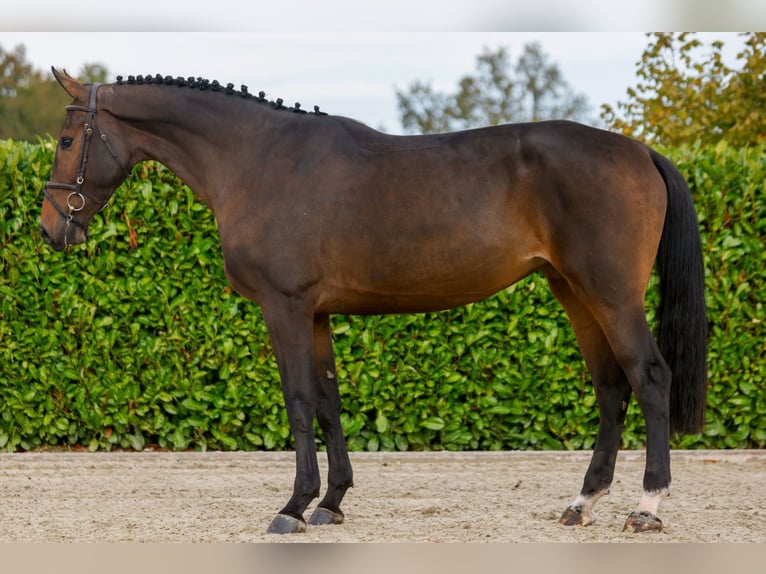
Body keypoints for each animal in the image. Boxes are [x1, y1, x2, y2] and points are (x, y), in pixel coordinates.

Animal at [37, 70, 708, 536]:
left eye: (68, 138)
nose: (50, 229)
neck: (258, 161)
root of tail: (639, 150)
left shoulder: (284, 306)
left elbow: (299, 400)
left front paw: (293, 506)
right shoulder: (316, 313)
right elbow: (329, 402)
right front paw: (331, 503)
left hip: (610, 293)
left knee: (650, 378)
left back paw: (647, 507)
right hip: (572, 290)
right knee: (611, 387)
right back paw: (582, 503)